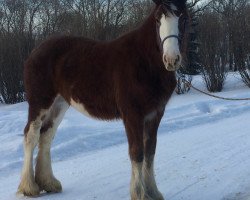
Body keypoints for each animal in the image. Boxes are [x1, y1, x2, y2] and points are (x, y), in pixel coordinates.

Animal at [18, 0, 188, 199]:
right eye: (157, 19)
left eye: (183, 17)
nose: (171, 59)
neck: (144, 62)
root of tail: (35, 51)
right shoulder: (132, 116)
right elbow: (137, 152)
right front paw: (139, 193)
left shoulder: (155, 115)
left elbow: (150, 152)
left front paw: (153, 192)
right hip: (40, 102)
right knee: (31, 135)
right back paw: (29, 187)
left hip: (59, 103)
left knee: (46, 135)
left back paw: (49, 182)